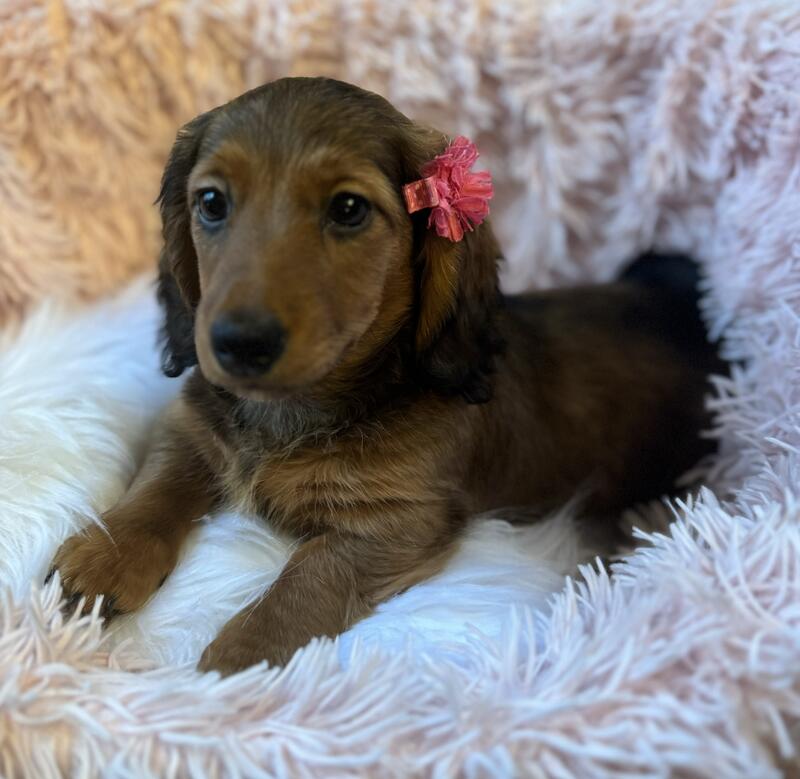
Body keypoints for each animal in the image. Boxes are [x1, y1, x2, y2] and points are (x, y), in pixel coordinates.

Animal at [50, 77, 722, 675]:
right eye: (212, 202)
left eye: (348, 209)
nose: (239, 343)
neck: (296, 411)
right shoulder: (191, 429)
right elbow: (157, 488)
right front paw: (105, 557)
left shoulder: (399, 522)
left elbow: (308, 579)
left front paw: (238, 662)